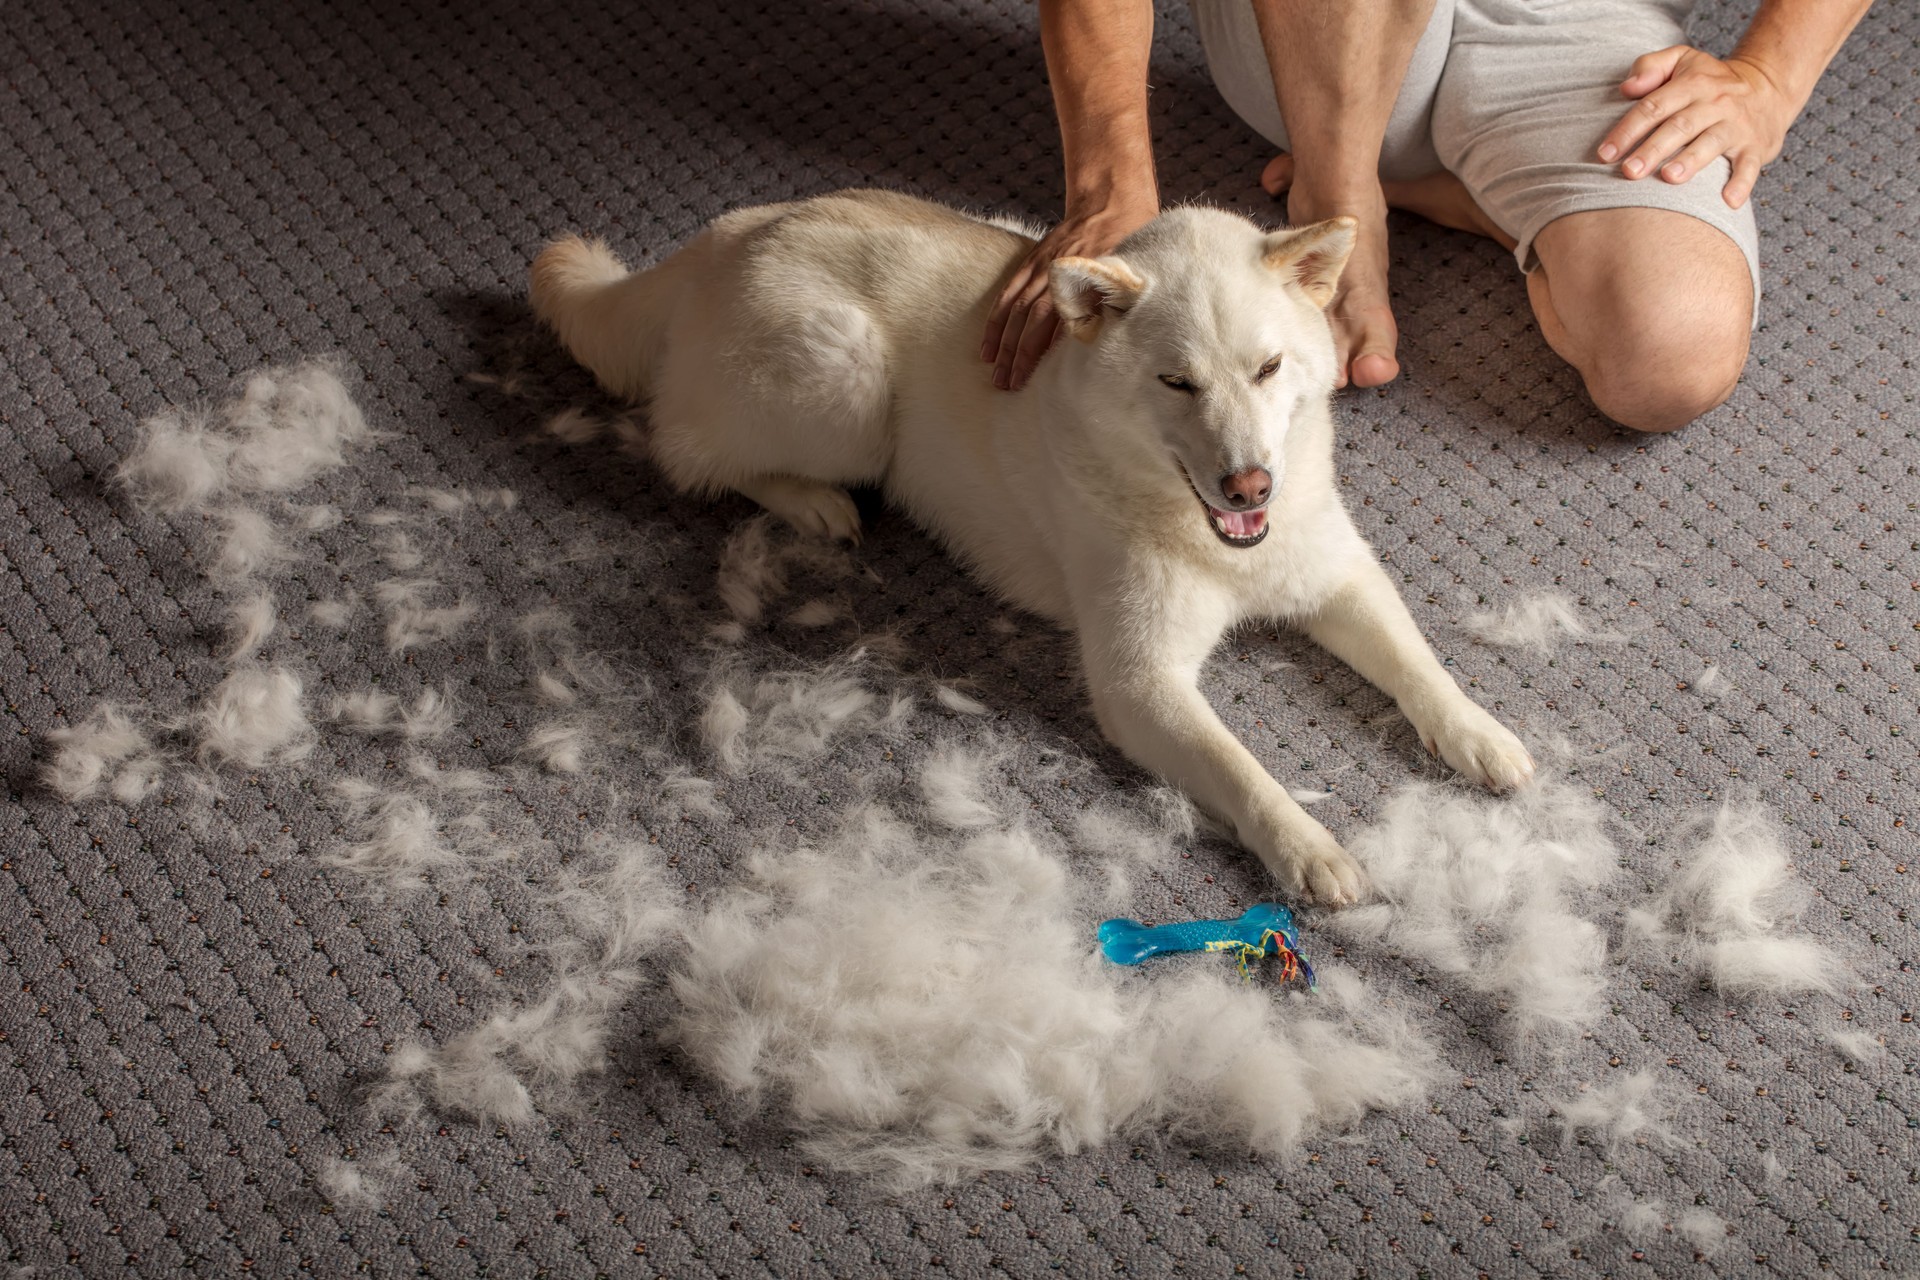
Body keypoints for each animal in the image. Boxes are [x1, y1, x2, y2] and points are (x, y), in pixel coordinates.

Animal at [533, 195, 1536, 905]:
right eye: (1178, 382)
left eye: (1269, 368)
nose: (1251, 486)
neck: (1214, 538)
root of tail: (732, 232)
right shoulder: (1139, 684)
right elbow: (1245, 771)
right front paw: (1309, 847)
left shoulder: (1338, 577)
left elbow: (1418, 665)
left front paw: (1478, 734)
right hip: (846, 386)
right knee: (688, 448)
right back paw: (812, 503)